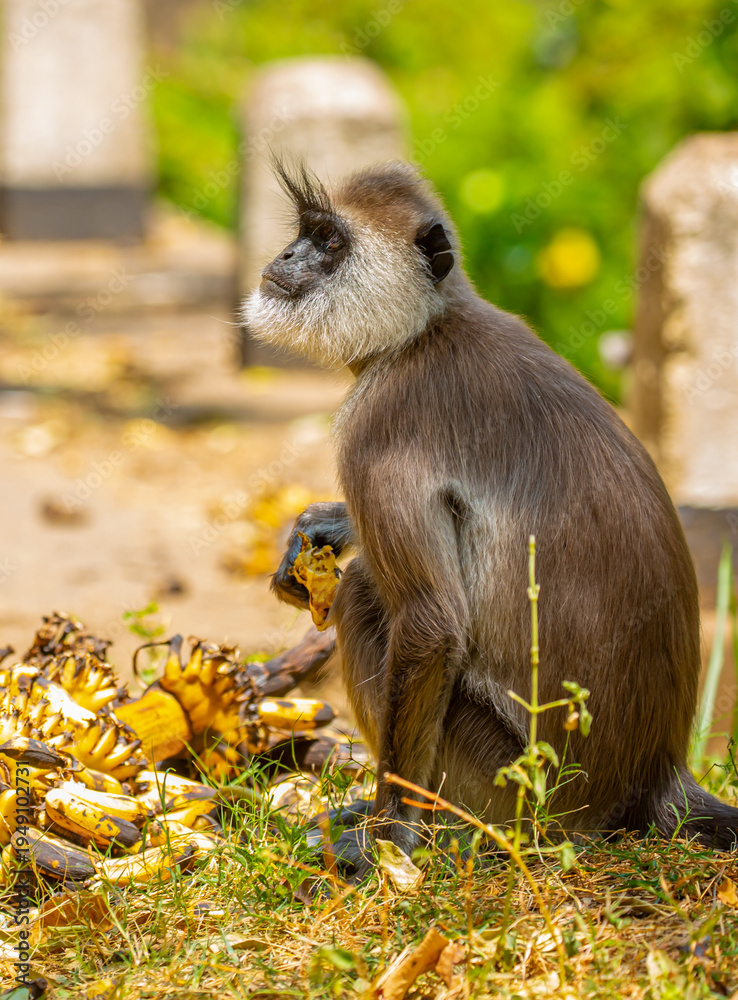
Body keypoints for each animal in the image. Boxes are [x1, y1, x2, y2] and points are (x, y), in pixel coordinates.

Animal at [241, 158, 738, 873]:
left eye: (329, 241)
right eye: (303, 233)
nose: (284, 257)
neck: (424, 330)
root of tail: (653, 779)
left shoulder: (380, 421)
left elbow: (430, 625)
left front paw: (386, 837)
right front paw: (321, 528)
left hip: (513, 787)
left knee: (366, 594)